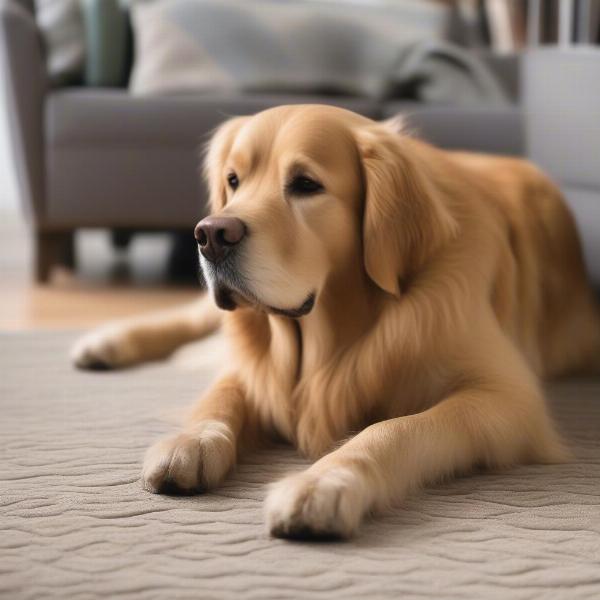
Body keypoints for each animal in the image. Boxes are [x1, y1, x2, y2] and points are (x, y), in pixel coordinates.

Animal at [70, 104, 600, 540]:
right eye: (234, 180)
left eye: (306, 185)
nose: (211, 234)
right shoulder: (255, 366)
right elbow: (222, 395)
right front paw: (191, 440)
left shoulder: (507, 399)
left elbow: (393, 429)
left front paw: (324, 483)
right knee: (190, 317)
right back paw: (104, 343)